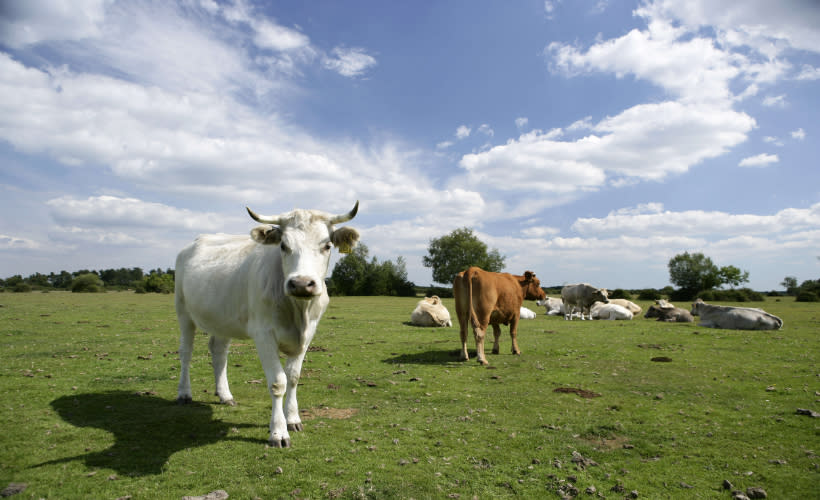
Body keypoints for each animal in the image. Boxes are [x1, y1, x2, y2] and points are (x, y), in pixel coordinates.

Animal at [174, 201, 360, 448]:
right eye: (283, 245)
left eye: (327, 245)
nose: (302, 283)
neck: (298, 312)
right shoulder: (263, 334)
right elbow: (278, 382)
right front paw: (278, 432)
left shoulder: (308, 334)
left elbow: (293, 377)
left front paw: (293, 419)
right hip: (183, 311)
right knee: (186, 352)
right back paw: (184, 393)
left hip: (223, 318)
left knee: (219, 352)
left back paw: (225, 395)